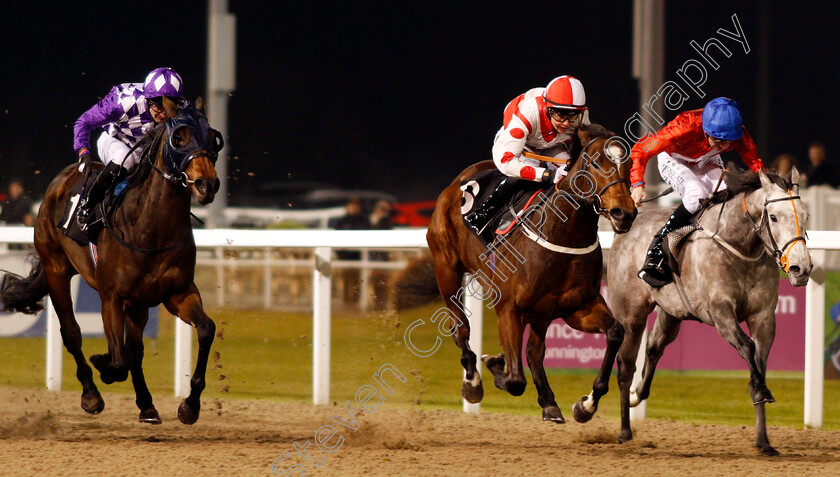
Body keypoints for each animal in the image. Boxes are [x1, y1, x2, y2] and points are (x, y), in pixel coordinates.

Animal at [0, 96, 221, 424]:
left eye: (212, 137)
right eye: (179, 137)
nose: (207, 184)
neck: (151, 227)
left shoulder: (177, 292)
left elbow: (205, 329)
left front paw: (189, 406)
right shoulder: (112, 297)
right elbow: (117, 359)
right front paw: (102, 366)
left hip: (139, 303)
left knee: (135, 349)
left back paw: (147, 406)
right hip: (56, 269)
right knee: (72, 333)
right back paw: (91, 394)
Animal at [410, 125, 632, 420]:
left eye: (629, 164)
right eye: (596, 163)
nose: (624, 213)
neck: (561, 234)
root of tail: (457, 182)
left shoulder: (578, 308)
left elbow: (616, 332)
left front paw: (586, 404)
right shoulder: (509, 310)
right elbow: (515, 380)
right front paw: (494, 365)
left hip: (542, 312)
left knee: (534, 351)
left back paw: (548, 401)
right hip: (446, 269)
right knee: (461, 329)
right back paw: (472, 382)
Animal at [576, 166, 812, 454]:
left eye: (805, 216)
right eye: (775, 217)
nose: (801, 268)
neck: (738, 245)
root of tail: (626, 227)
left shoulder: (764, 317)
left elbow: (758, 363)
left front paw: (764, 440)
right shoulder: (720, 311)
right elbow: (747, 347)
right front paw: (762, 391)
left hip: (671, 313)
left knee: (654, 347)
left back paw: (635, 396)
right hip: (631, 314)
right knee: (625, 365)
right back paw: (619, 428)